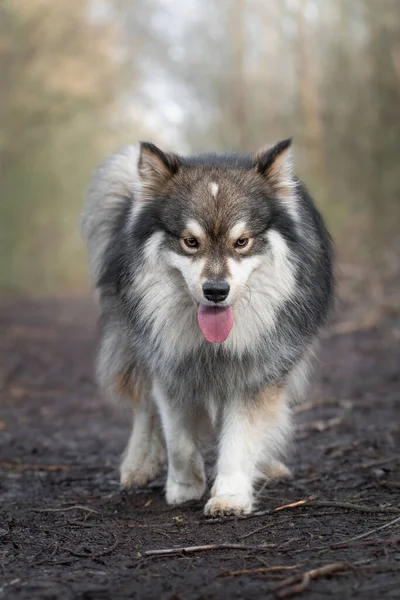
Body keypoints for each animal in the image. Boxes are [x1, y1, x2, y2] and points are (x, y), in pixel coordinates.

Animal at [79, 139, 332, 516]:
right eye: (190, 241)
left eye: (241, 242)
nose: (215, 291)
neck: (213, 345)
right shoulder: (170, 368)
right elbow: (178, 439)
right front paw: (185, 486)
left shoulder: (255, 372)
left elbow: (241, 438)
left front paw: (229, 495)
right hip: (132, 343)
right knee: (144, 407)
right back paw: (138, 464)